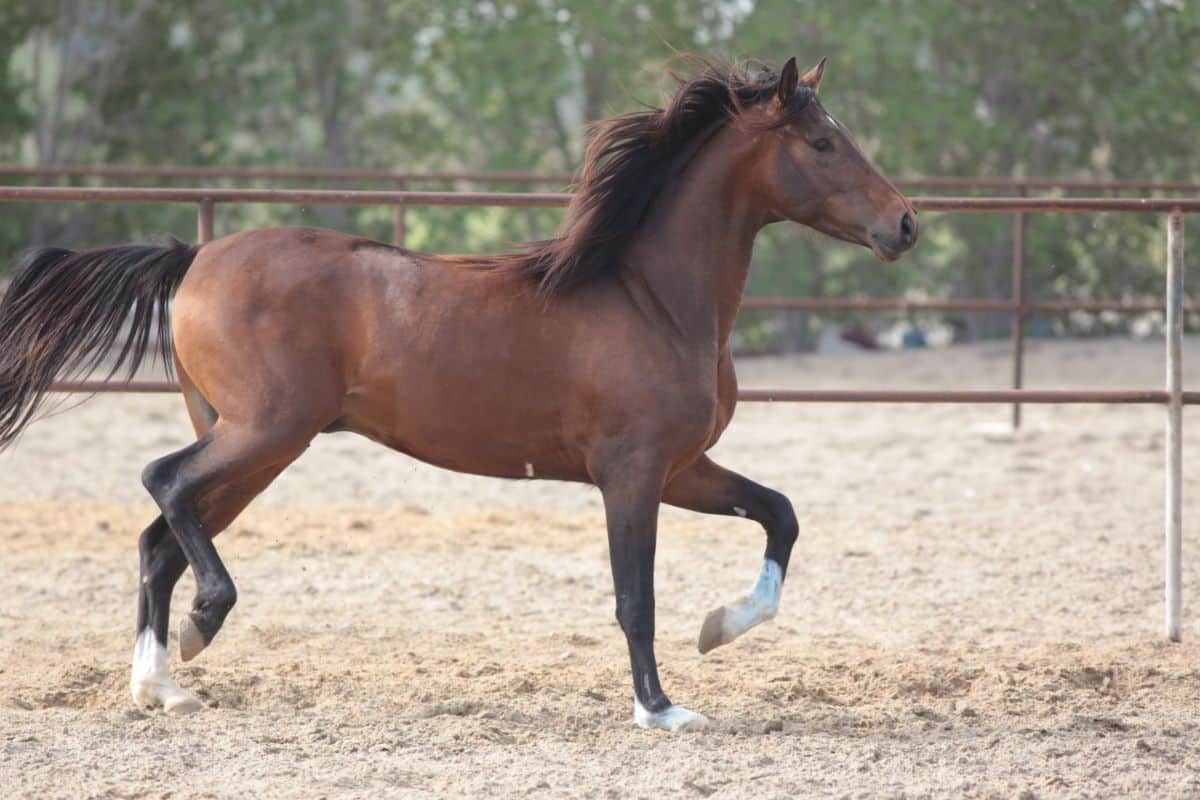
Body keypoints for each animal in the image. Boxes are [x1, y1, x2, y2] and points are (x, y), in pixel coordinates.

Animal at [0, 56, 912, 734]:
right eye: (823, 143)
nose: (904, 224)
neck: (652, 299)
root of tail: (193, 257)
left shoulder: (684, 468)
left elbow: (781, 514)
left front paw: (720, 628)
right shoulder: (633, 473)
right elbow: (636, 597)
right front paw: (662, 709)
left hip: (256, 448)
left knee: (161, 537)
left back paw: (164, 684)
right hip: (264, 432)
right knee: (162, 484)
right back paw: (202, 623)